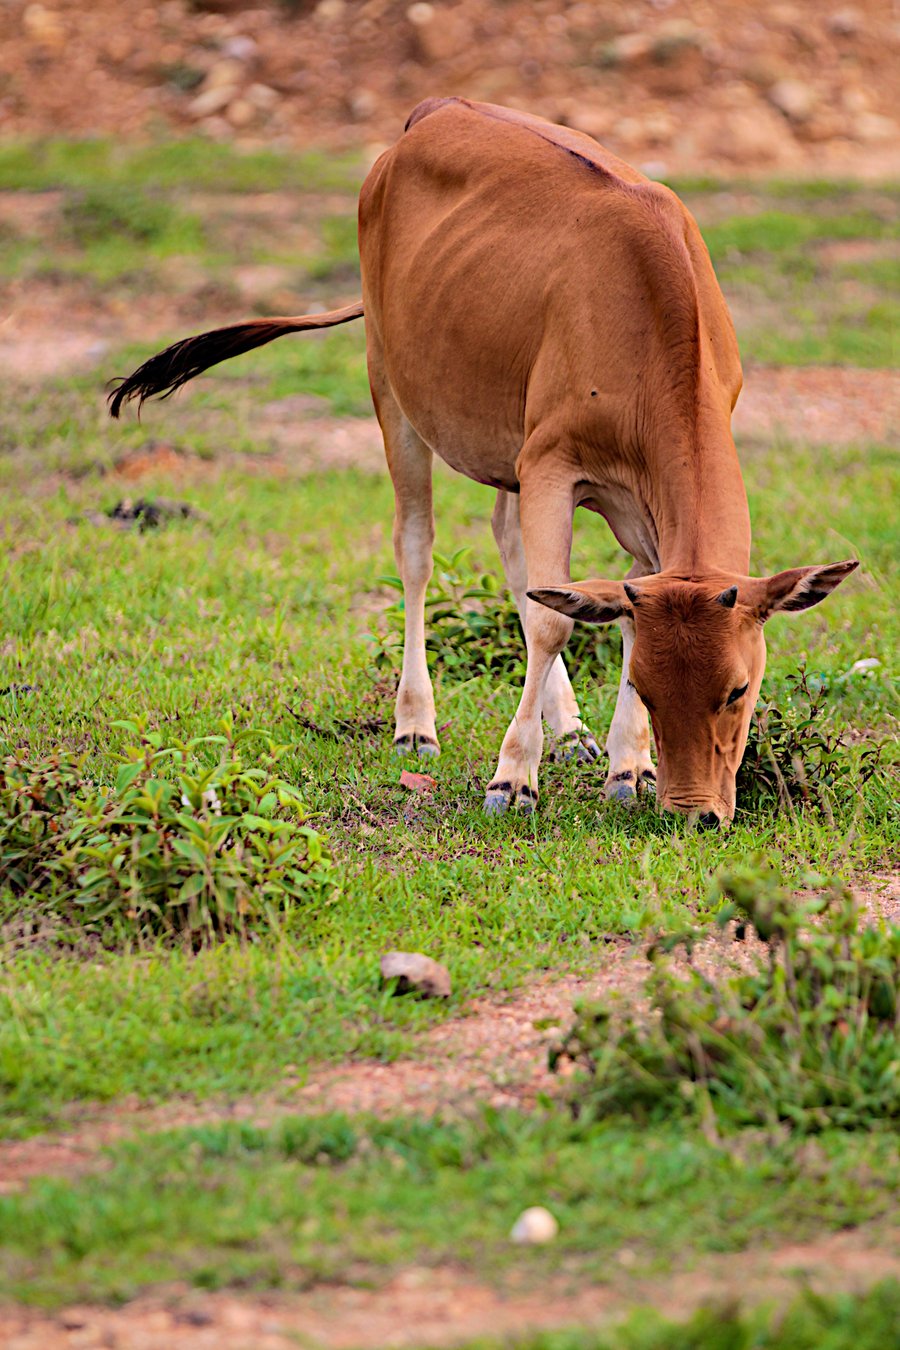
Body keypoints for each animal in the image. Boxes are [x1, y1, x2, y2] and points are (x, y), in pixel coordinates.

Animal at [107, 97, 858, 820]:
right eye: (648, 687)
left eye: (737, 689)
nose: (695, 812)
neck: (646, 317)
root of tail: (430, 114)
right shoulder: (552, 463)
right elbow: (554, 618)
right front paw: (513, 779)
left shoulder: (627, 502)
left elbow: (597, 601)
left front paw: (628, 766)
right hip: (392, 387)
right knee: (417, 549)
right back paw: (416, 723)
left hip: (506, 445)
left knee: (515, 553)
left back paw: (573, 731)